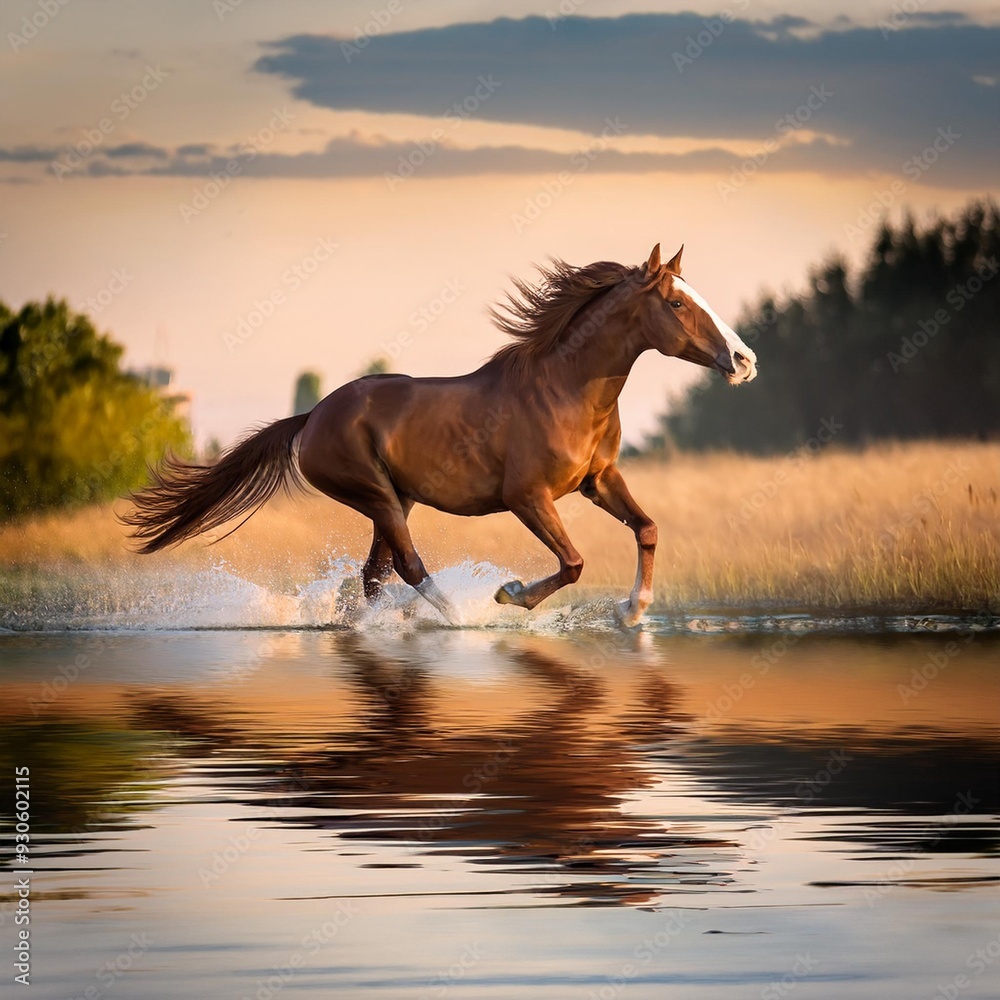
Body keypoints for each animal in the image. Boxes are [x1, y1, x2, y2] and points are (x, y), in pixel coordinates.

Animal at [122, 244, 757, 626]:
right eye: (675, 302)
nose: (745, 361)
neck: (568, 391)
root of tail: (312, 417)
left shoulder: (598, 481)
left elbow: (647, 529)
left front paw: (632, 611)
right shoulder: (528, 497)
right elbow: (574, 562)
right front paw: (509, 594)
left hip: (394, 500)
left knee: (373, 575)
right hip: (376, 494)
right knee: (405, 567)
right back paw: (454, 618)